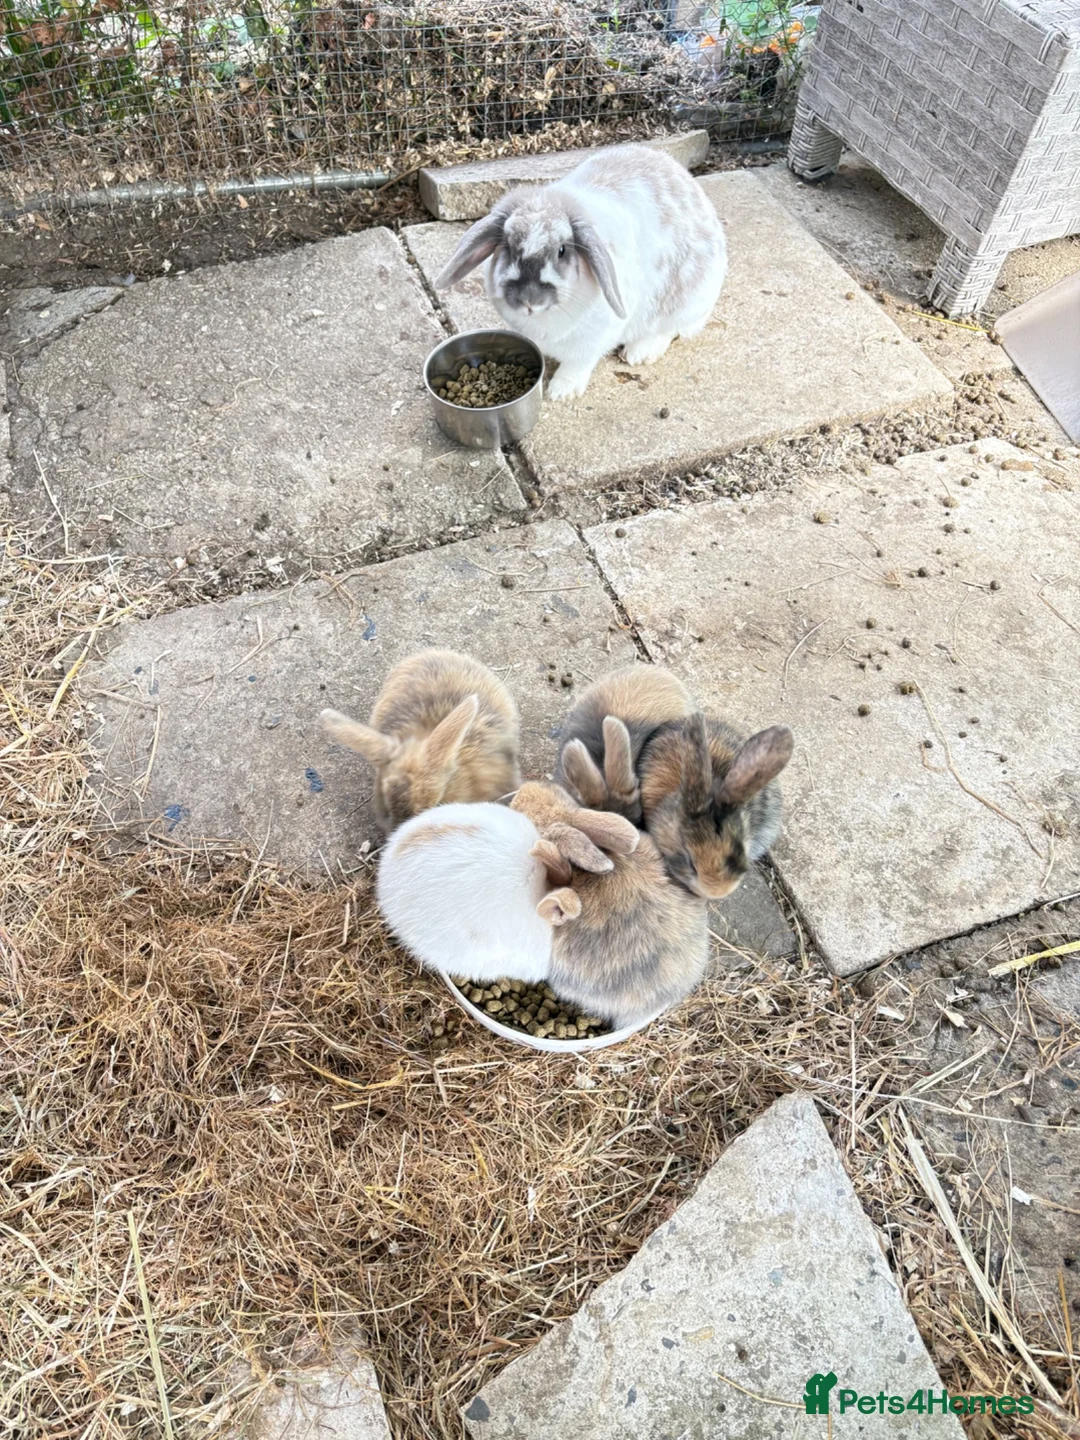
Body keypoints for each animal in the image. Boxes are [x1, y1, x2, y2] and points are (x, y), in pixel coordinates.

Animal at [433, 144, 728, 400]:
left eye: (562, 250)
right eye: (508, 247)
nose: (529, 300)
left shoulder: (589, 344)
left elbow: (577, 365)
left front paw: (561, 393)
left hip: (687, 302)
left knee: (671, 330)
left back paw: (638, 354)